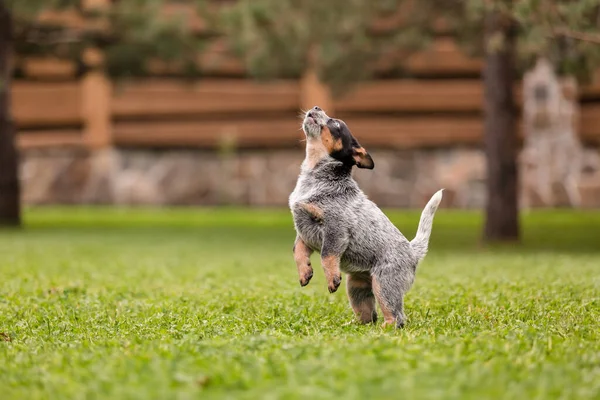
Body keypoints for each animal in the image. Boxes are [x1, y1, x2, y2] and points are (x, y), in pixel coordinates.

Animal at [288, 106, 442, 328]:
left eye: (336, 124)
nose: (317, 107)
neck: (316, 177)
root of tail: (413, 252)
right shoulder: (303, 230)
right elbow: (297, 252)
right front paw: (304, 272)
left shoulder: (336, 229)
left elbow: (327, 255)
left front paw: (331, 279)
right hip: (356, 287)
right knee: (369, 316)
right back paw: (355, 327)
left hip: (384, 284)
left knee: (397, 317)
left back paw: (385, 329)